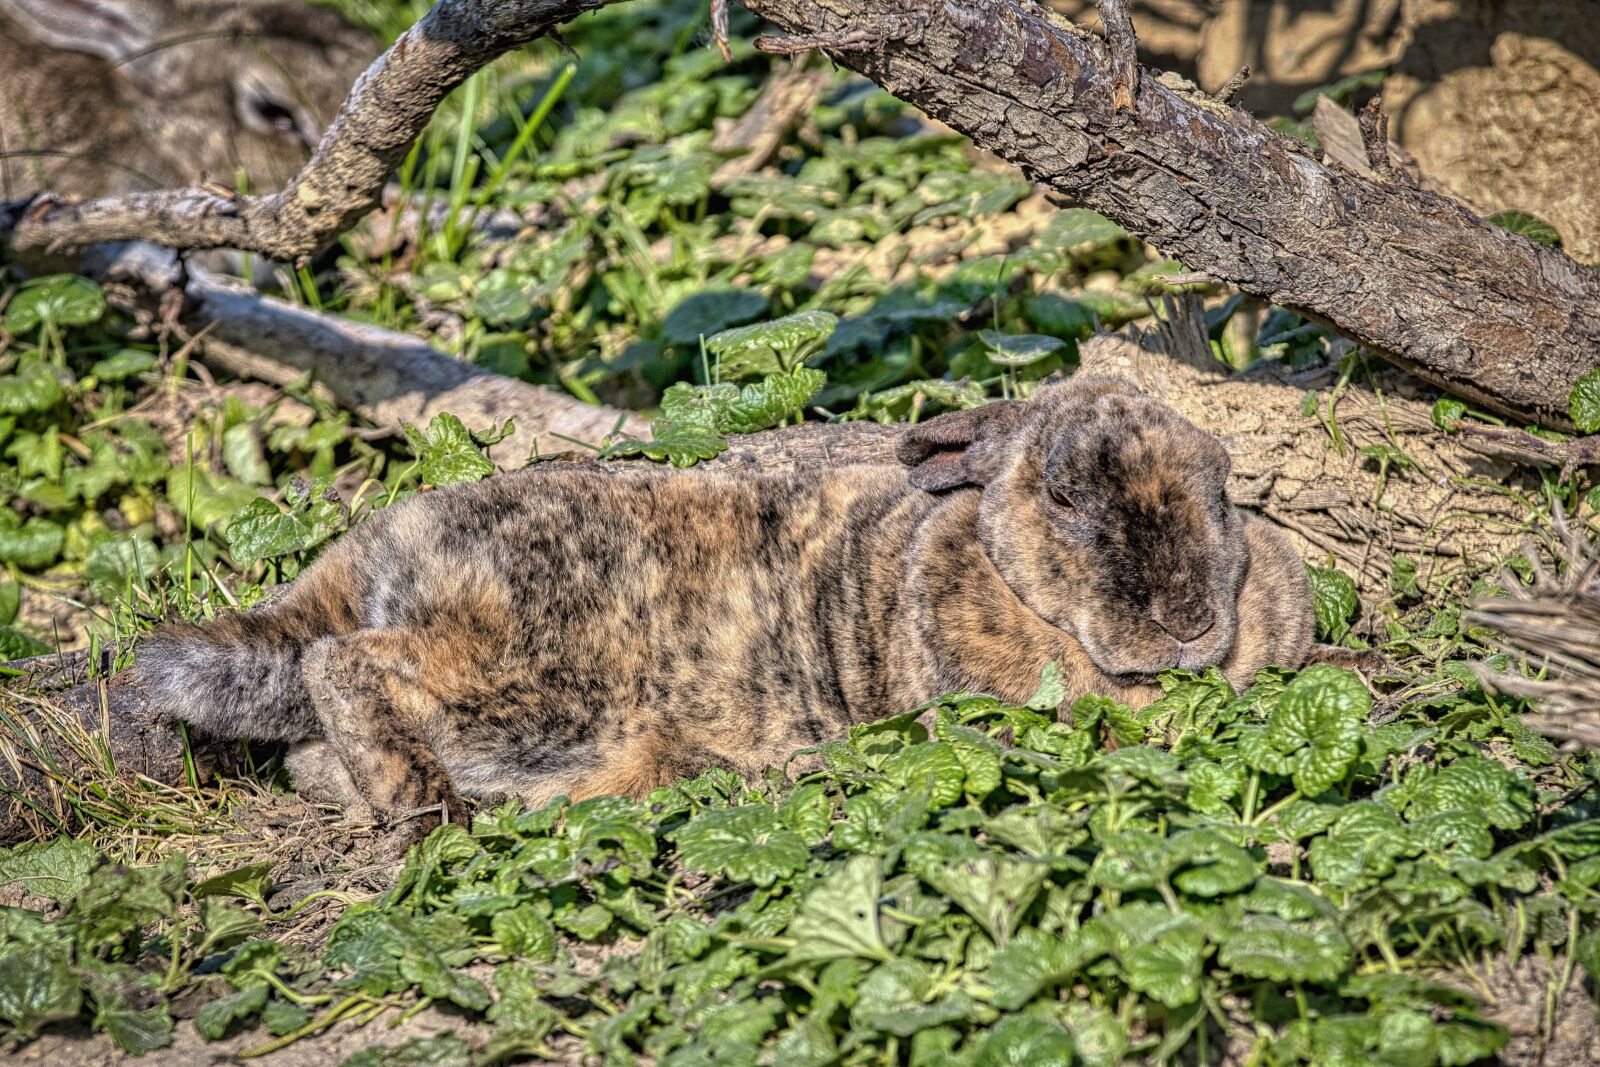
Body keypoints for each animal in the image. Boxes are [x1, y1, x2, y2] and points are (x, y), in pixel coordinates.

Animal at [140, 379, 1312, 838]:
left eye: (1217, 484)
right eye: (1066, 499)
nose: (1186, 616)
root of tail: (383, 545)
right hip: (533, 680)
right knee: (347, 665)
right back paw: (432, 816)